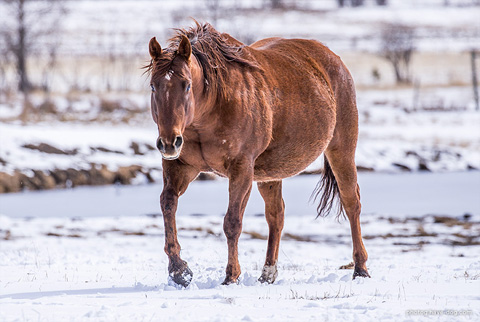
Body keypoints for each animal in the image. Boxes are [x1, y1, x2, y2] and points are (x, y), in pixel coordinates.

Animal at [144, 21, 370, 286]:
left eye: (187, 85)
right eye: (153, 86)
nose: (169, 142)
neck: (213, 105)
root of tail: (334, 60)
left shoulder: (241, 168)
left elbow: (232, 222)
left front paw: (231, 276)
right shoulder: (181, 166)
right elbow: (168, 205)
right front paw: (179, 270)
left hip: (341, 150)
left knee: (351, 203)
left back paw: (360, 269)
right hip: (270, 174)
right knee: (276, 215)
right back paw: (267, 274)